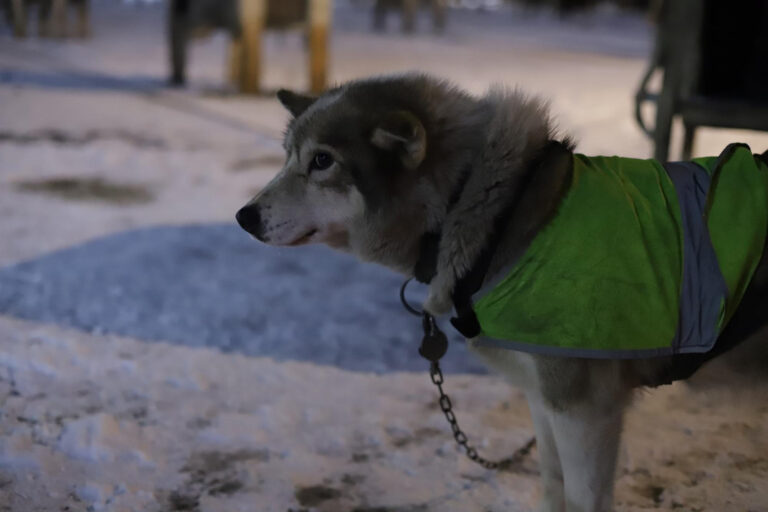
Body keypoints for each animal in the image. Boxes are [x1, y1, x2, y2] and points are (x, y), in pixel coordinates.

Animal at [236, 74, 768, 510]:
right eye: (287, 157)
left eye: (322, 161)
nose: (244, 216)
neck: (490, 214)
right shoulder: (543, 397)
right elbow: (553, 484)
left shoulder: (584, 407)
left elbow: (583, 497)